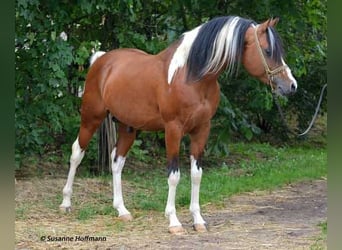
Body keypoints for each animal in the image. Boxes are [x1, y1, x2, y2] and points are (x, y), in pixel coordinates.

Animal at [58, 15, 296, 234]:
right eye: (267, 51)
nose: (291, 86)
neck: (191, 76)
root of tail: (101, 60)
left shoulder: (202, 130)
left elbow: (196, 174)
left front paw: (198, 220)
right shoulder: (173, 130)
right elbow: (174, 175)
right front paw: (174, 221)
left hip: (128, 127)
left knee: (117, 161)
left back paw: (122, 210)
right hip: (91, 118)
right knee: (76, 153)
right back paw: (66, 203)